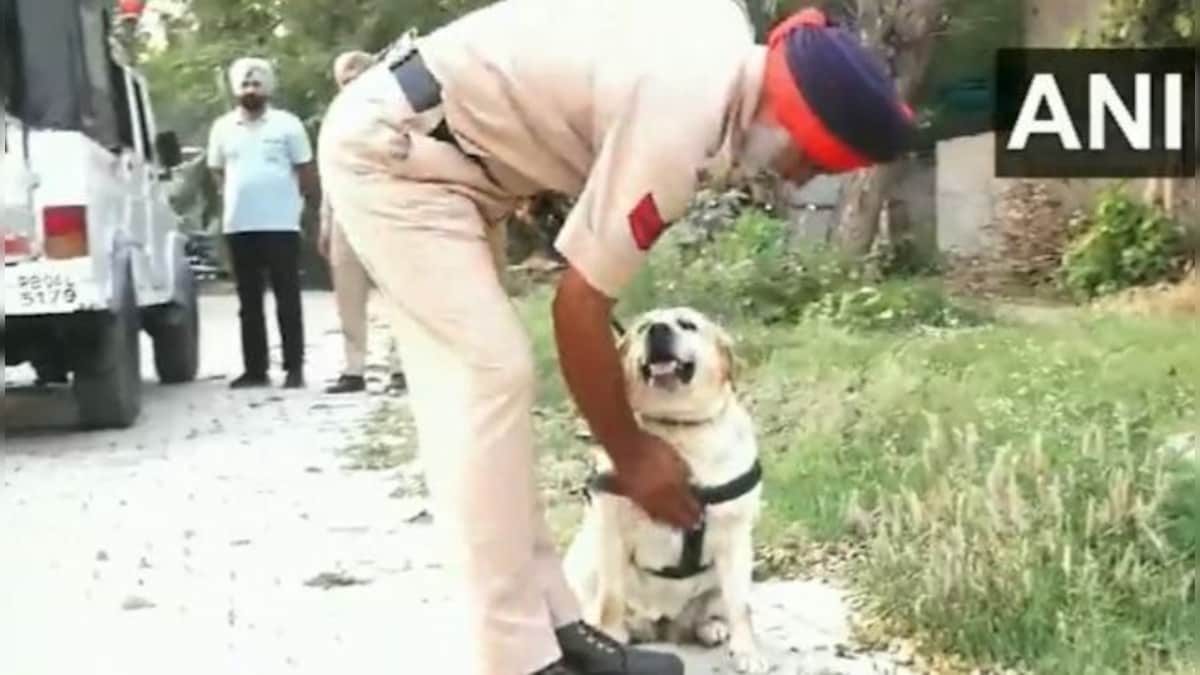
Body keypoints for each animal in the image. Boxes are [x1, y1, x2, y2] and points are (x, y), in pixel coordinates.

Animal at [564, 307, 768, 667]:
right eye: (643, 327)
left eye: (688, 324)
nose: (657, 330)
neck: (679, 429)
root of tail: (661, 624)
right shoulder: (613, 533)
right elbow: (611, 599)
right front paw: (609, 642)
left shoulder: (736, 536)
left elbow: (740, 606)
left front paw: (747, 651)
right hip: (582, 562)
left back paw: (711, 626)